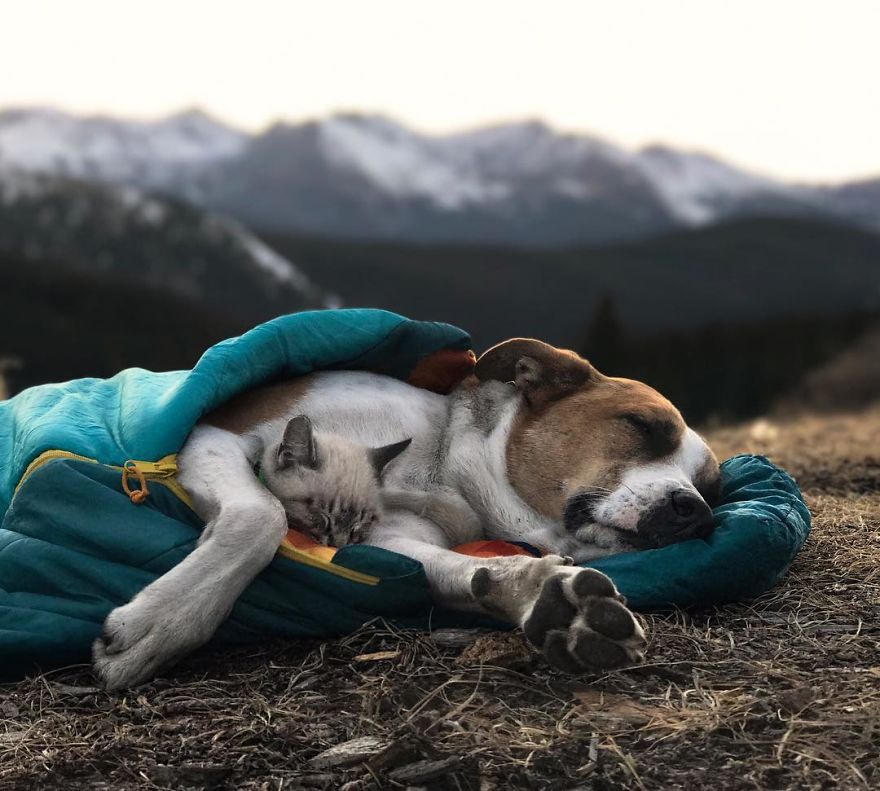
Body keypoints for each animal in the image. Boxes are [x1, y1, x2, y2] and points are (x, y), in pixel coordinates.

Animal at [91, 338, 720, 688]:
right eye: (642, 426)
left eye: (711, 486)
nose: (694, 511)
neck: (440, 463)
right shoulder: (215, 436)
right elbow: (260, 517)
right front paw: (161, 623)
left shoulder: (384, 540)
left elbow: (457, 569)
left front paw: (547, 598)